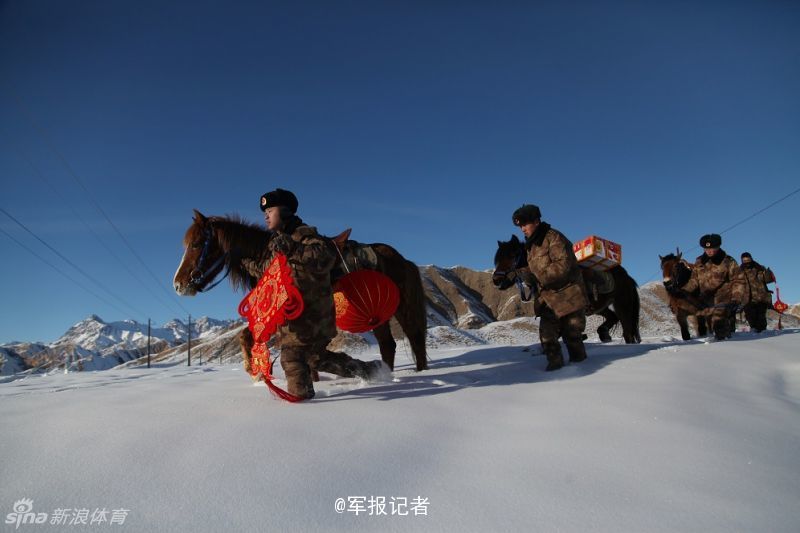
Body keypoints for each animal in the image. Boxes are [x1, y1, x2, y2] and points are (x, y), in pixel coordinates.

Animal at [173, 208, 428, 370]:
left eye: (196, 244)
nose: (178, 284)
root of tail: (402, 260)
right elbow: (246, 336)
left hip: (401, 308)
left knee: (415, 339)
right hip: (377, 315)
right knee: (388, 345)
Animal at [490, 235, 640, 342]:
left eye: (513, 255)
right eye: (497, 259)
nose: (496, 280)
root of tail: (627, 277)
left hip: (622, 305)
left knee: (627, 332)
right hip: (601, 307)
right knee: (613, 318)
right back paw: (603, 334)